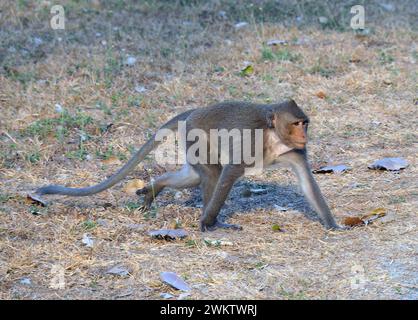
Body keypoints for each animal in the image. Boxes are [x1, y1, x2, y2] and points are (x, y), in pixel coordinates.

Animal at [34, 99, 342, 231]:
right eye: (297, 123)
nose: (304, 133)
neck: (273, 134)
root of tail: (194, 111)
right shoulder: (251, 141)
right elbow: (230, 172)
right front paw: (207, 223)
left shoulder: (295, 151)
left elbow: (307, 183)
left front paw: (332, 225)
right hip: (196, 134)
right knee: (213, 173)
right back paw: (212, 222)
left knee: (194, 176)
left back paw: (155, 188)